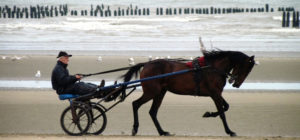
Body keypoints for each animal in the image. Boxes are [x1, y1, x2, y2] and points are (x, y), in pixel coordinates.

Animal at [122, 49, 255, 136]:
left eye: (249, 70)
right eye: (246, 68)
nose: (237, 84)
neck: (212, 68)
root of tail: (147, 64)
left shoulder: (216, 93)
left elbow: (226, 106)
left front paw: (208, 114)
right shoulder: (215, 94)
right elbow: (222, 112)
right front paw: (229, 131)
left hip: (160, 93)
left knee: (153, 111)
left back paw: (162, 132)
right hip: (152, 92)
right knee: (136, 104)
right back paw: (135, 128)